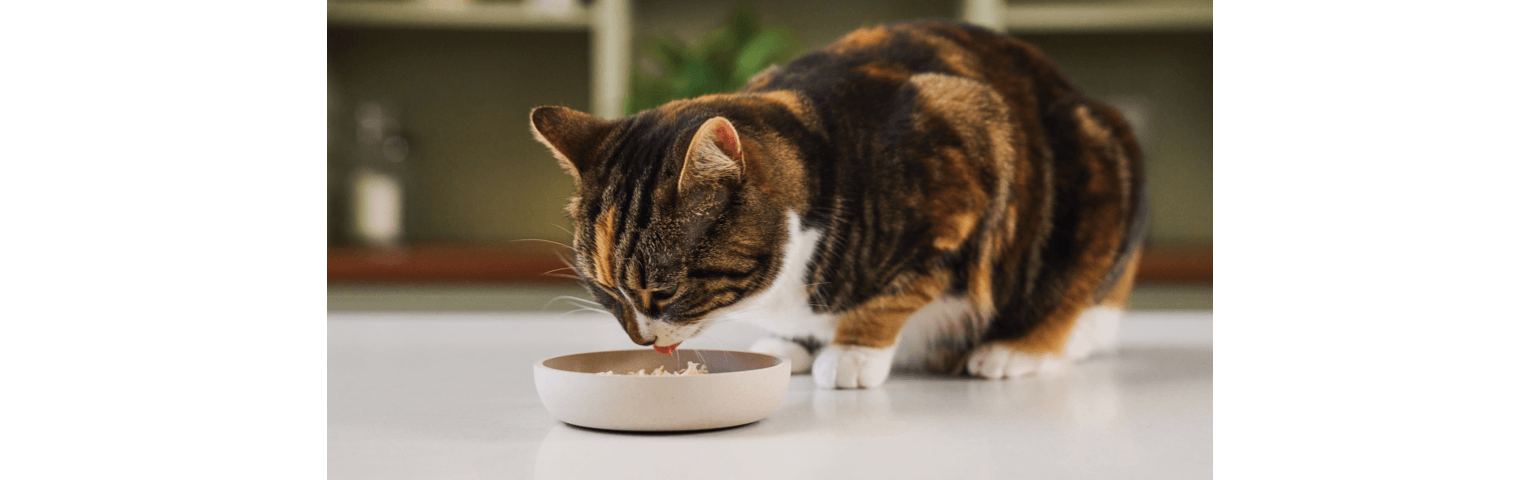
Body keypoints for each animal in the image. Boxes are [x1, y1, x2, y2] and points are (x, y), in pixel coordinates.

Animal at [529, 19, 1145, 390]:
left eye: (664, 292)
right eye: (605, 291)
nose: (640, 341)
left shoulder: (967, 166)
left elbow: (902, 288)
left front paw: (853, 352)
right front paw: (794, 344)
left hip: (1095, 171)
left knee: (1071, 296)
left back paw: (1017, 349)